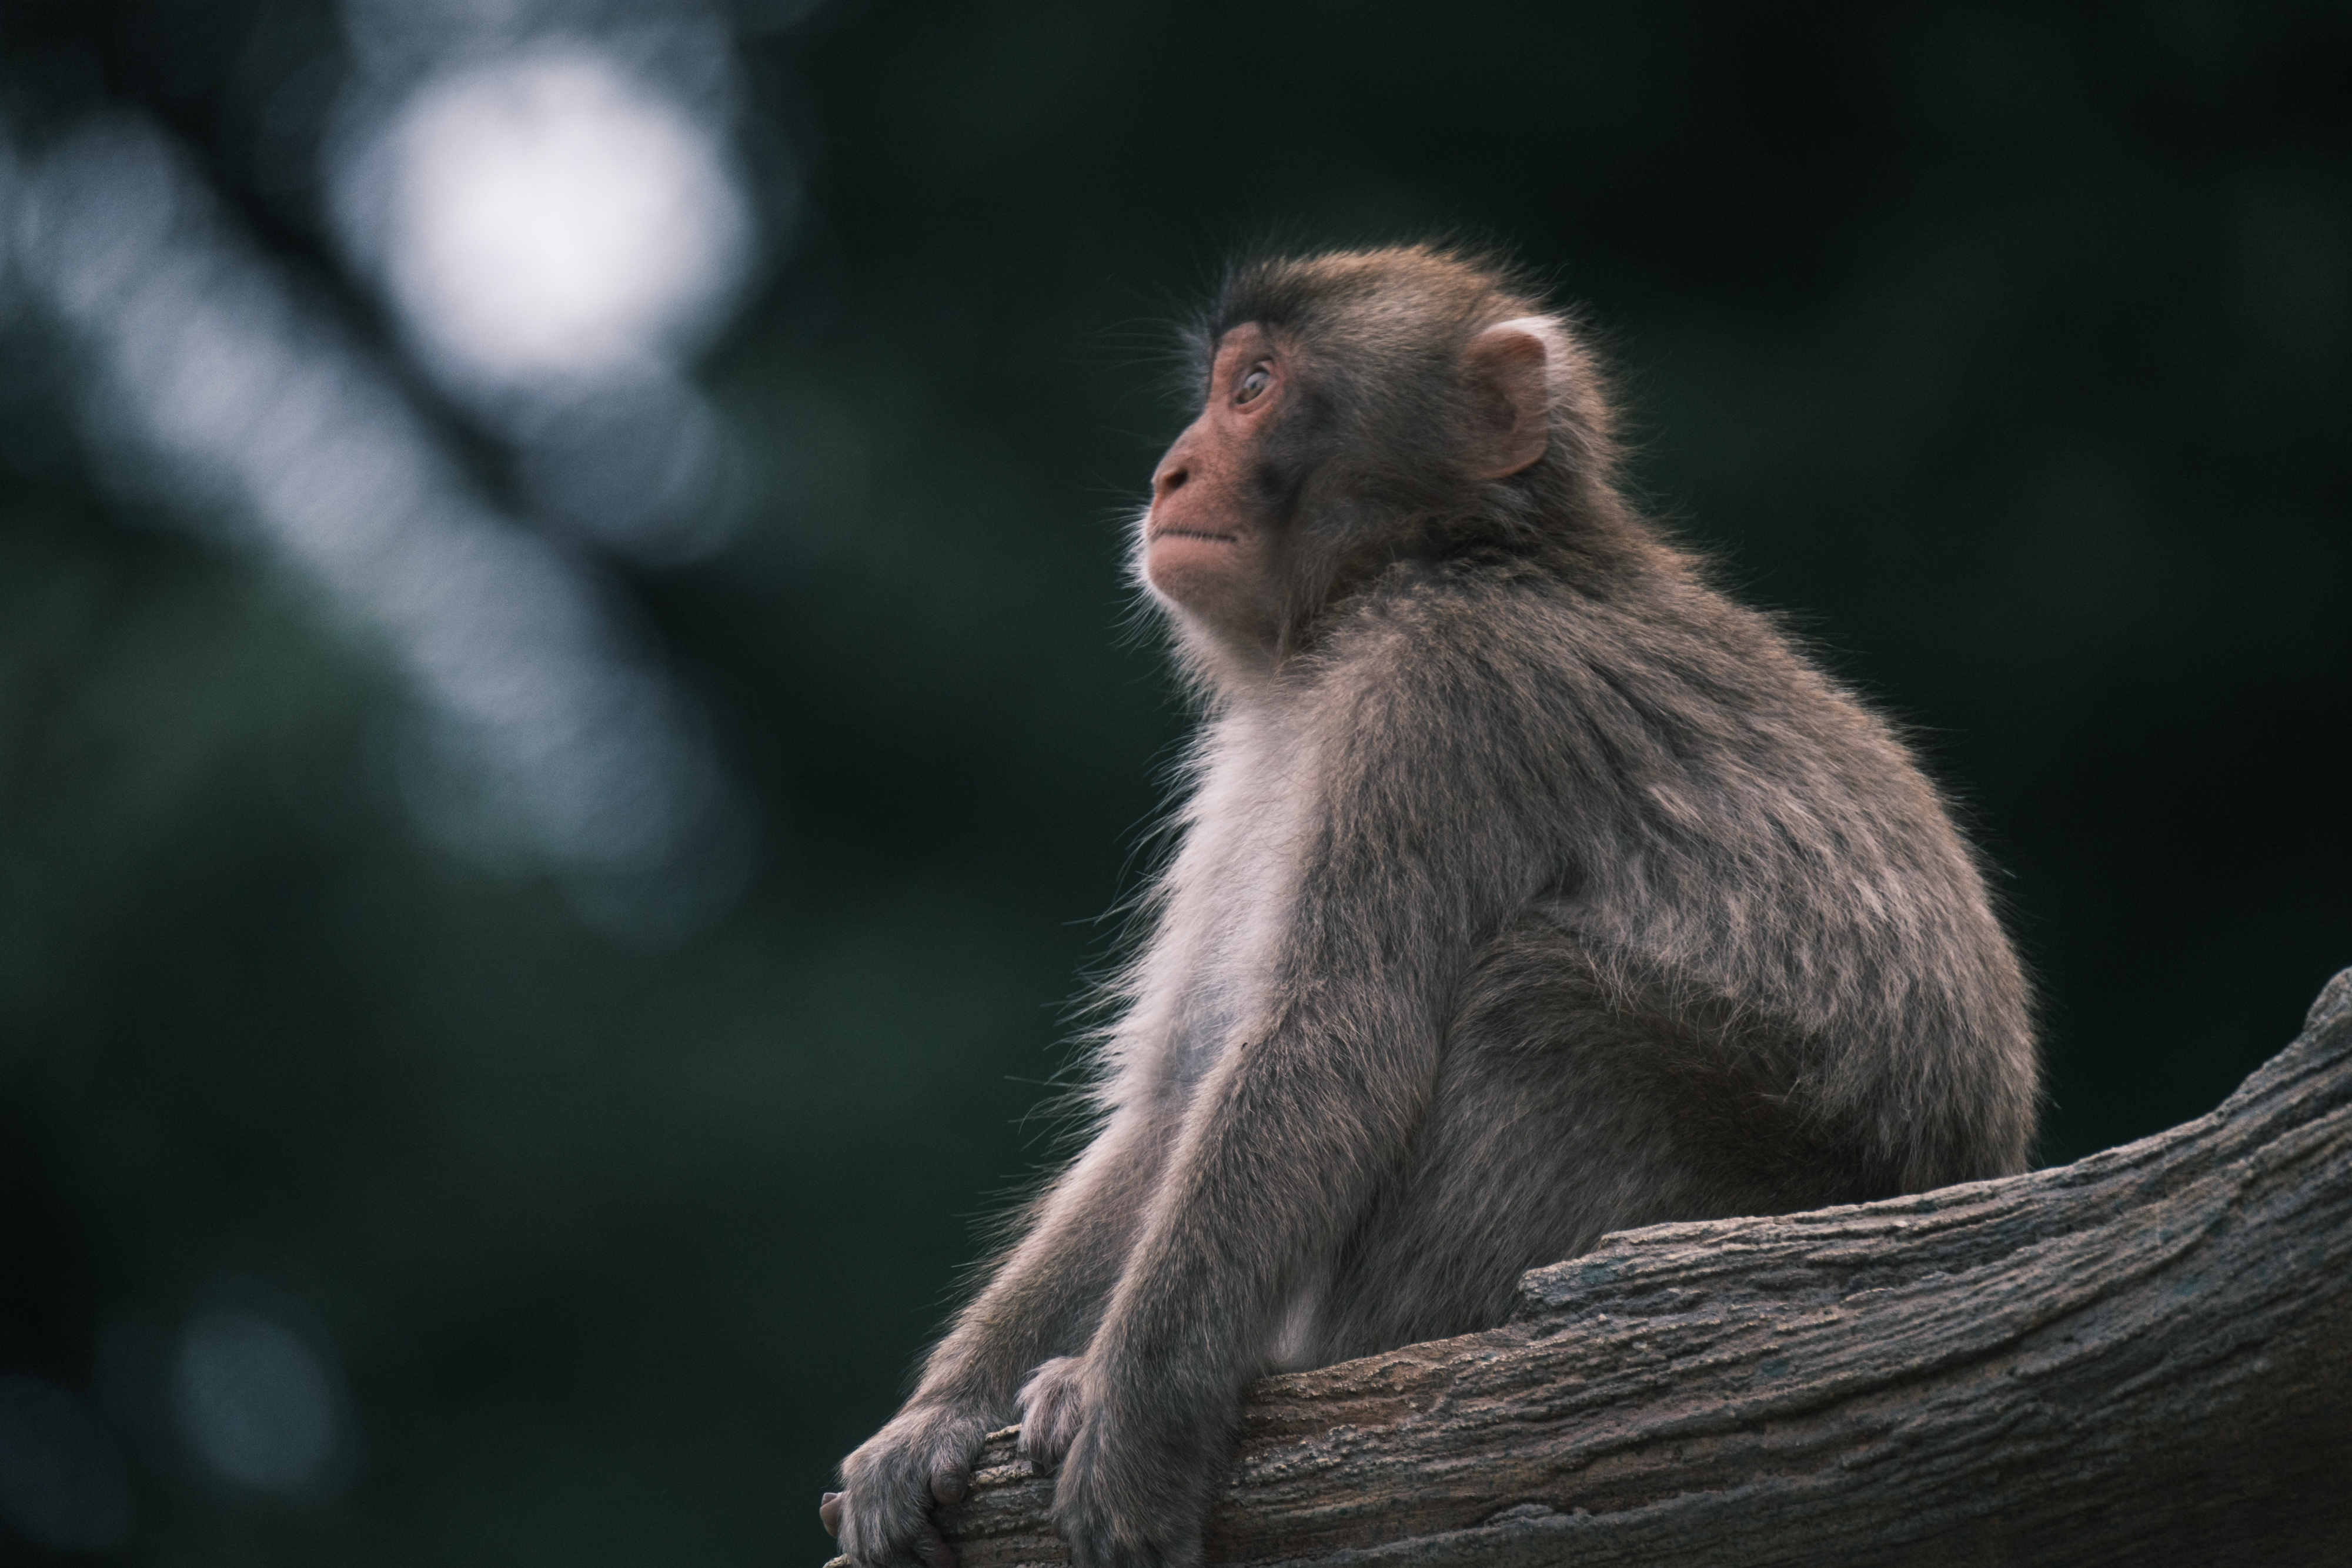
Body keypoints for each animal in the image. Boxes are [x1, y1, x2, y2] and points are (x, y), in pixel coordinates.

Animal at [828, 239, 2042, 1568]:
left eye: (1254, 387)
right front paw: (943, 1414)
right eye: (1219, 385)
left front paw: (1129, 1412)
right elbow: (1178, 1097)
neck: (1418, 567)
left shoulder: (1443, 694)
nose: (1169, 472)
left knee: (1528, 1001)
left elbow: (1332, 1038)